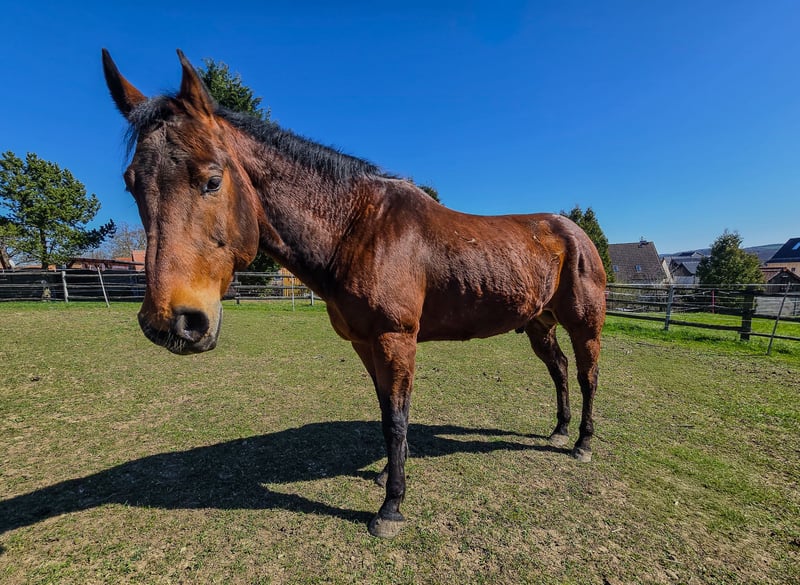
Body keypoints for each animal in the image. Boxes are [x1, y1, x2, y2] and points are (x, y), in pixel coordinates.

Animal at [102, 49, 607, 538]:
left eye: (212, 179)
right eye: (132, 183)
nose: (173, 322)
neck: (358, 228)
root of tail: (576, 234)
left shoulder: (395, 339)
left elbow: (397, 418)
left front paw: (390, 508)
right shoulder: (366, 344)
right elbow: (387, 414)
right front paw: (387, 475)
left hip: (584, 324)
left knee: (586, 375)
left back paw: (582, 442)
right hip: (538, 323)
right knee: (560, 369)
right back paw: (559, 430)